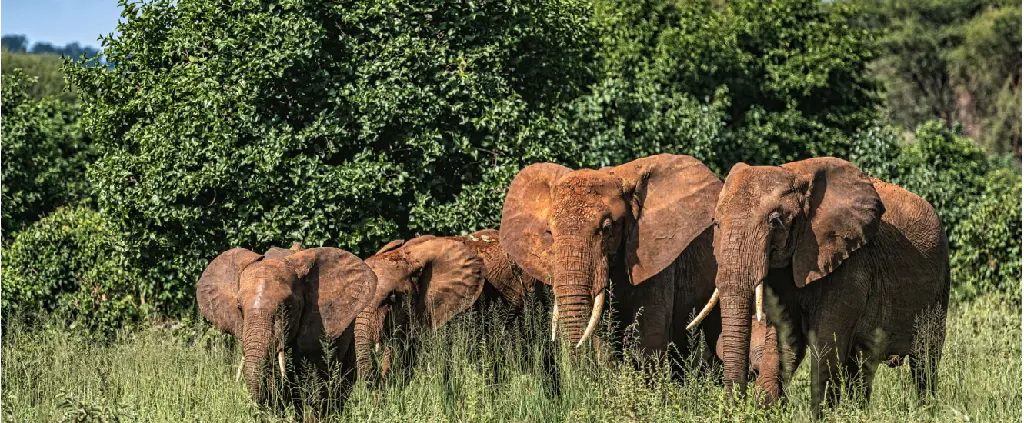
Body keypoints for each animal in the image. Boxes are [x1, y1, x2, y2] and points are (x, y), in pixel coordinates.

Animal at [688, 155, 950, 415]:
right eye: (716, 223)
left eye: (775, 222)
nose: (734, 408)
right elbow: (785, 341)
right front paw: (767, 409)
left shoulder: (851, 266)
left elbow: (826, 344)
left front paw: (819, 415)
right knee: (861, 365)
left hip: (940, 283)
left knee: (925, 359)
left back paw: (927, 410)